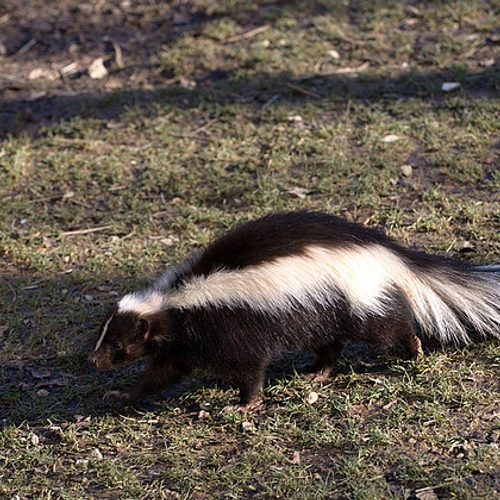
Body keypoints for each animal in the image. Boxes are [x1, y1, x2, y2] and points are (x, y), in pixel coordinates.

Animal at [88, 209, 500, 408]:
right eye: (102, 336)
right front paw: (123, 395)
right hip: (323, 308)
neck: (174, 304)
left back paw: (413, 349)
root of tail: (384, 249)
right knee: (332, 343)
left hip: (352, 298)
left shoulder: (229, 326)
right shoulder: (180, 344)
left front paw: (247, 405)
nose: (93, 361)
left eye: (118, 345)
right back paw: (318, 372)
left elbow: (249, 368)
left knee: (388, 324)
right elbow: (160, 373)